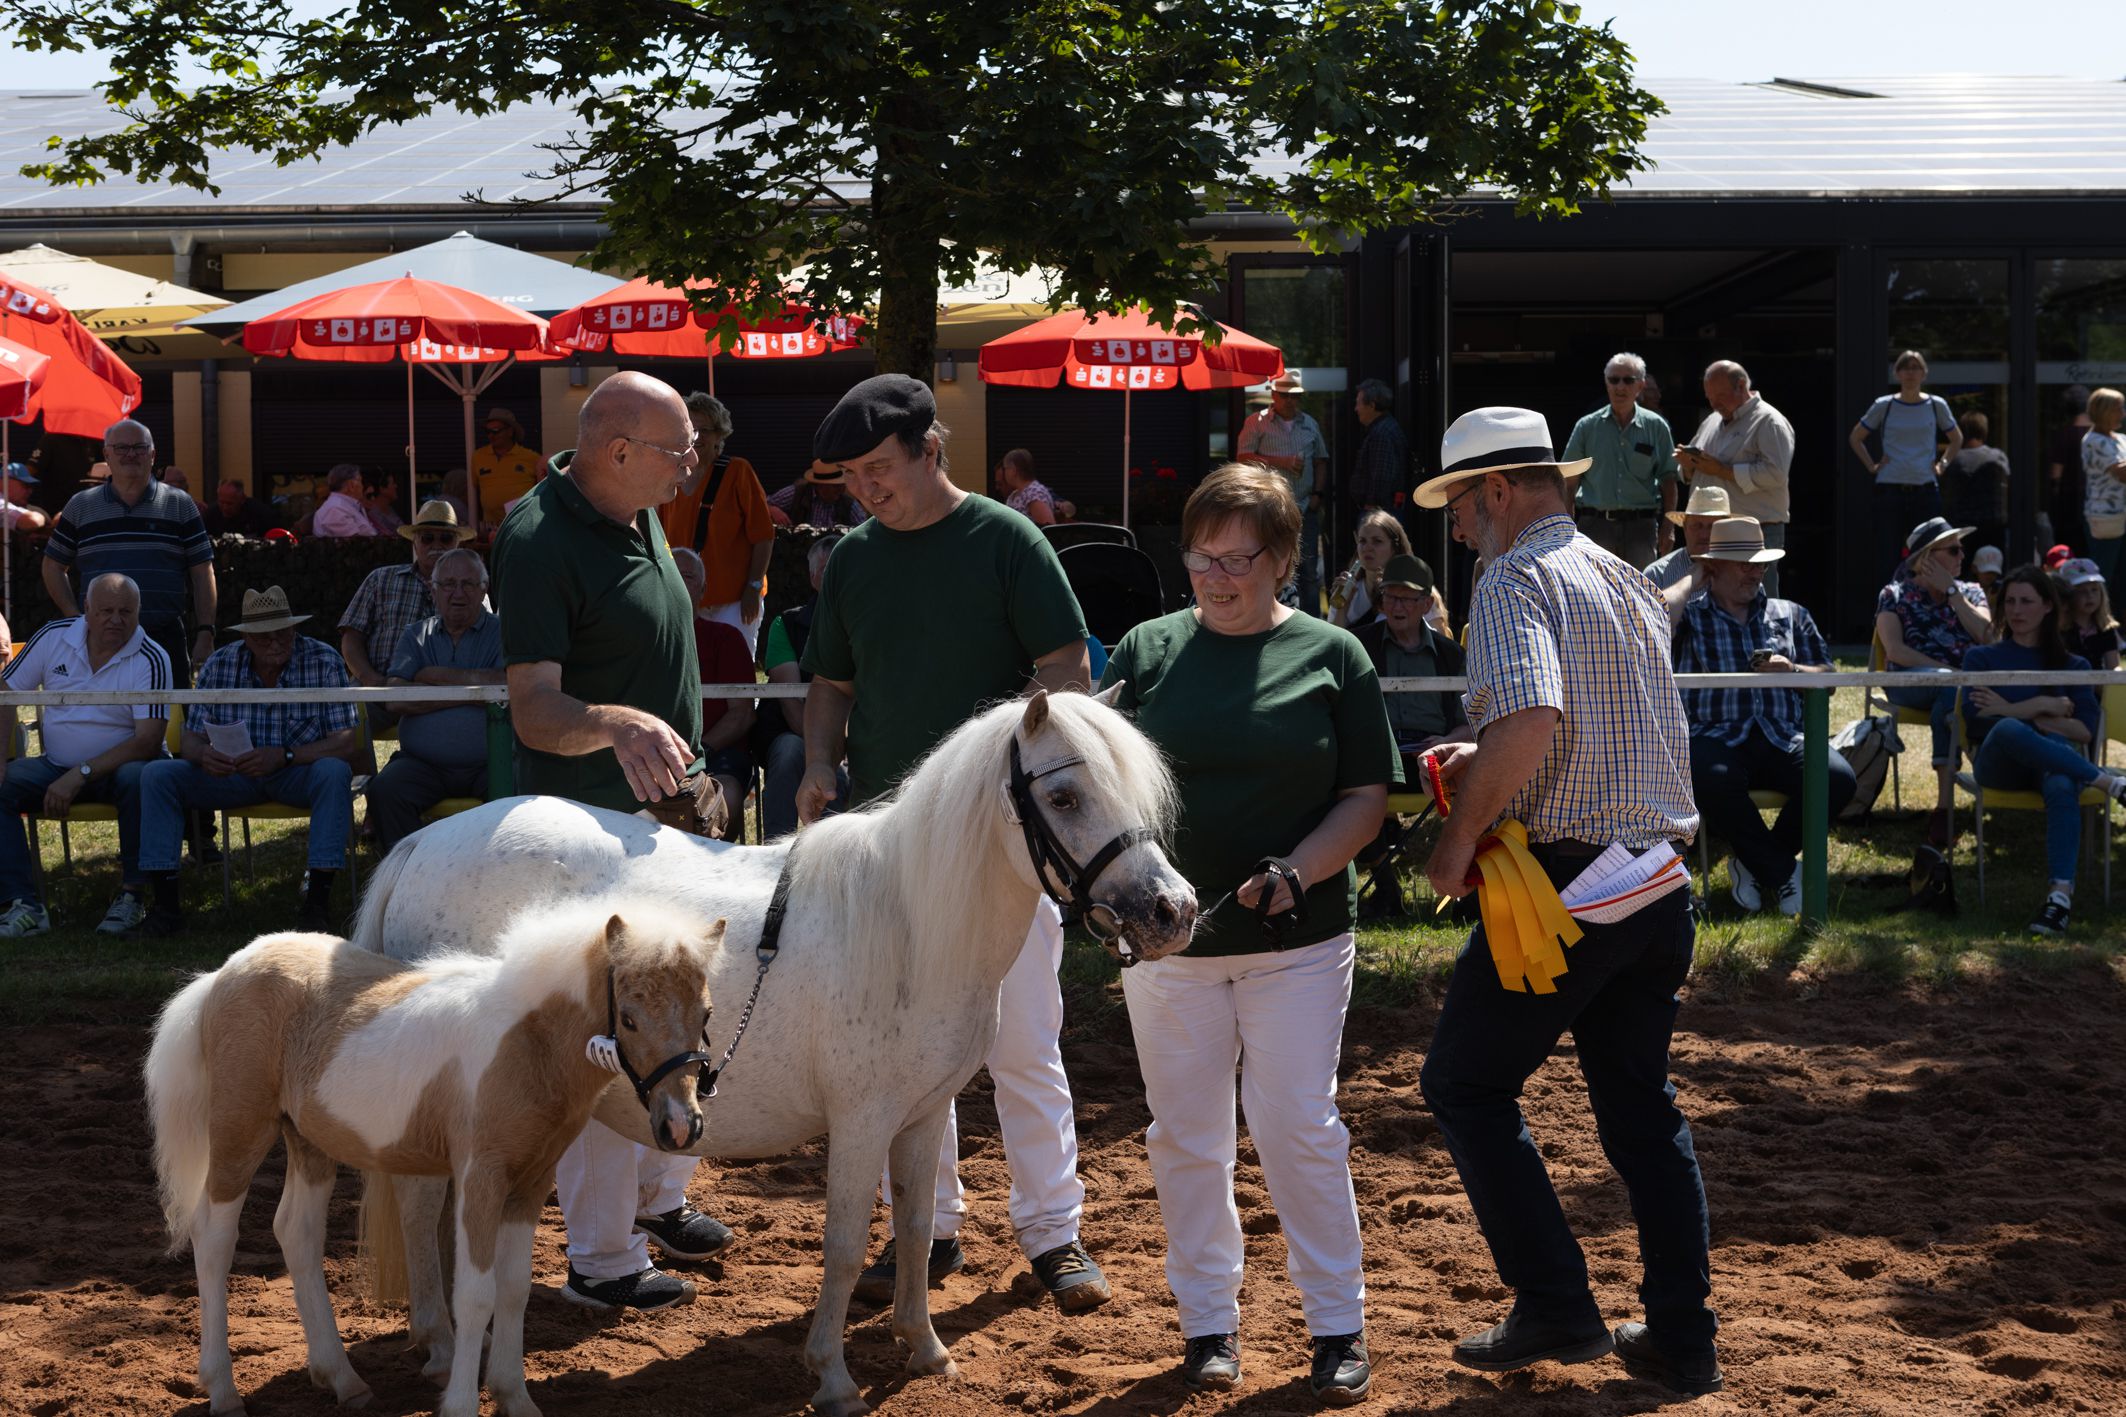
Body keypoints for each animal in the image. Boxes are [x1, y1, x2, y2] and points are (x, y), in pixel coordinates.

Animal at [145, 909, 722, 1417]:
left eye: (706, 1015)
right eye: (628, 1017)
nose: (680, 1126)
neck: (525, 1044)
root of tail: (222, 974)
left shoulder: (530, 1183)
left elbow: (513, 1291)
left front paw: (516, 1398)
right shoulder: (479, 1176)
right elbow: (474, 1295)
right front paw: (463, 1403)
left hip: (308, 1141)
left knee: (297, 1233)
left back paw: (343, 1380)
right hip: (241, 1129)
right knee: (214, 1238)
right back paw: (223, 1391)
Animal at [348, 692, 1199, 1410]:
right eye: (1063, 797)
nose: (1173, 910)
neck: (907, 923)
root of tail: (420, 842)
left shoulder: (924, 1115)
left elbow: (916, 1227)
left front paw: (924, 1348)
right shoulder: (860, 1122)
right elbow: (847, 1244)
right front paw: (833, 1374)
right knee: (421, 1206)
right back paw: (441, 1344)